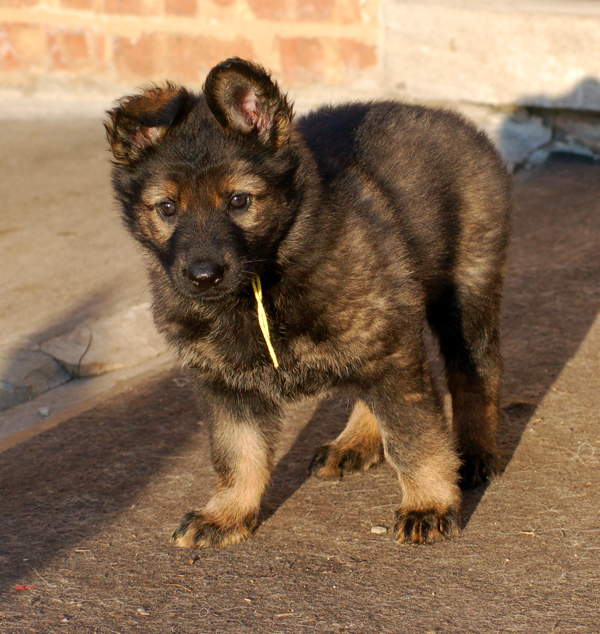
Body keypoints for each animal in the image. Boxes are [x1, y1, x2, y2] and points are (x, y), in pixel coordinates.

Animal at [105, 56, 508, 544]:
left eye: (239, 201)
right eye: (167, 208)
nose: (203, 276)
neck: (261, 285)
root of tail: (455, 121)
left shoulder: (388, 348)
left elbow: (414, 438)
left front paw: (428, 504)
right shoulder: (225, 385)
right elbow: (237, 454)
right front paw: (227, 513)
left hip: (464, 292)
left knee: (475, 373)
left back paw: (475, 454)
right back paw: (354, 442)